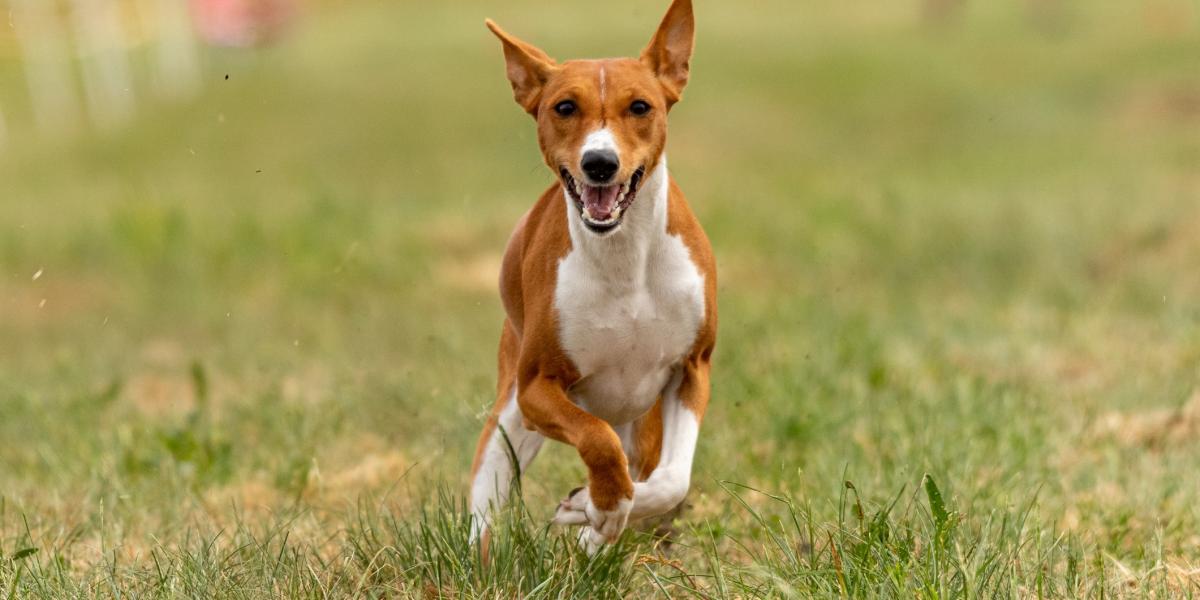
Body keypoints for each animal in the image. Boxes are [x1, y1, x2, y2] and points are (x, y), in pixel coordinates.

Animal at [468, 0, 710, 552]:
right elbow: (598, 442)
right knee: (484, 505)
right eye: (563, 107)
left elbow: (671, 480)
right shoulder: (538, 388)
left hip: (642, 421)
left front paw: (592, 513)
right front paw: (600, 505)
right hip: (510, 417)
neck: (624, 260)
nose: (600, 162)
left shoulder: (691, 368)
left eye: (640, 106)